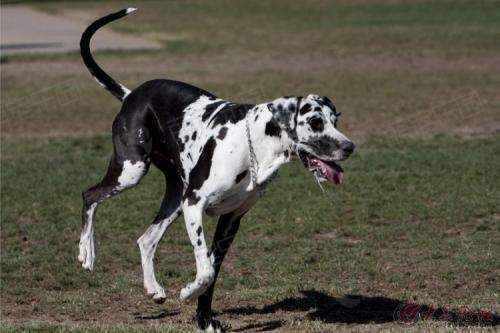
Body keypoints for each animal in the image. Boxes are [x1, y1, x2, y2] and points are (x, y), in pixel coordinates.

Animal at [79, 8, 356, 332]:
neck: (255, 143)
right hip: (132, 172)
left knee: (146, 239)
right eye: (314, 122)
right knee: (90, 195)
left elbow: (212, 271)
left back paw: (153, 288)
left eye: (335, 120)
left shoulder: (229, 221)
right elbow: (205, 270)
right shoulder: (195, 204)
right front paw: (188, 292)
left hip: (175, 198)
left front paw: (204, 319)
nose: (349, 147)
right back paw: (86, 252)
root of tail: (132, 94)